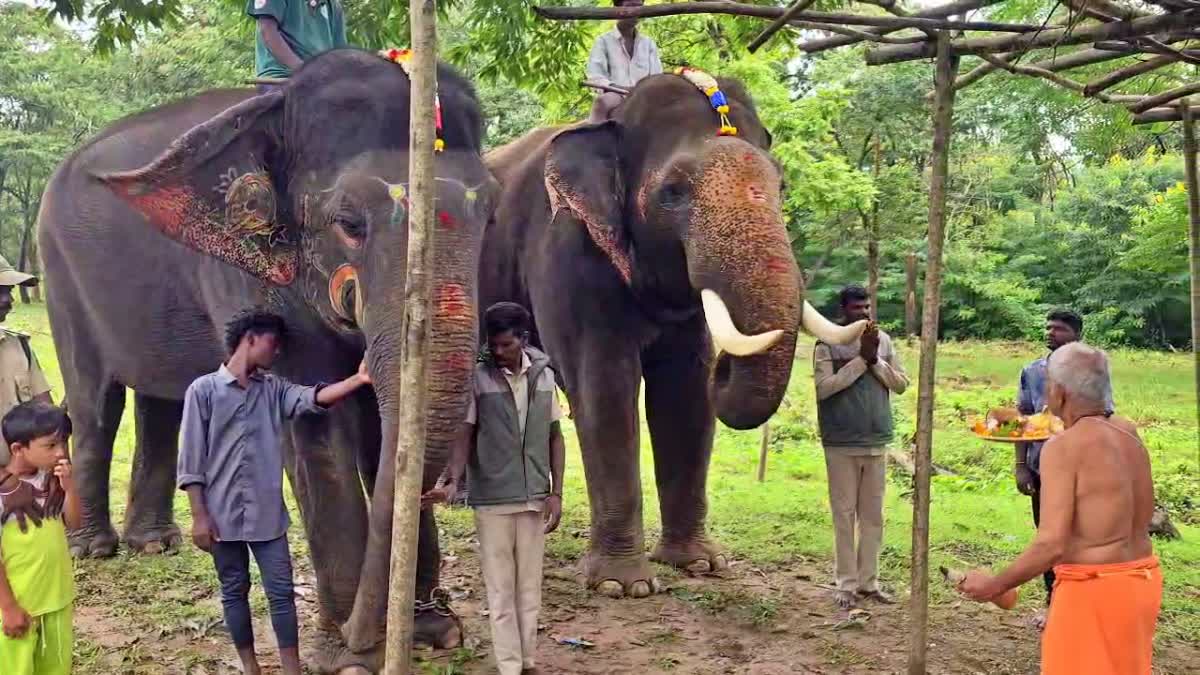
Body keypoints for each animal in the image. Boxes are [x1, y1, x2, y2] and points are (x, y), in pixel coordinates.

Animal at [36, 49, 496, 667]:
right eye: (349, 224)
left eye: (490, 216)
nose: (365, 632)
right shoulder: (241, 272)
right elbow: (312, 423)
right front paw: (348, 657)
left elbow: (386, 431)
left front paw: (432, 633)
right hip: (60, 273)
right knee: (95, 402)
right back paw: (94, 550)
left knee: (161, 401)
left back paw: (153, 544)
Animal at [477, 68, 864, 595]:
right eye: (673, 191)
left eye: (782, 185)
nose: (726, 369)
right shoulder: (566, 249)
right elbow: (604, 389)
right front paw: (624, 586)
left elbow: (685, 392)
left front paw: (699, 564)